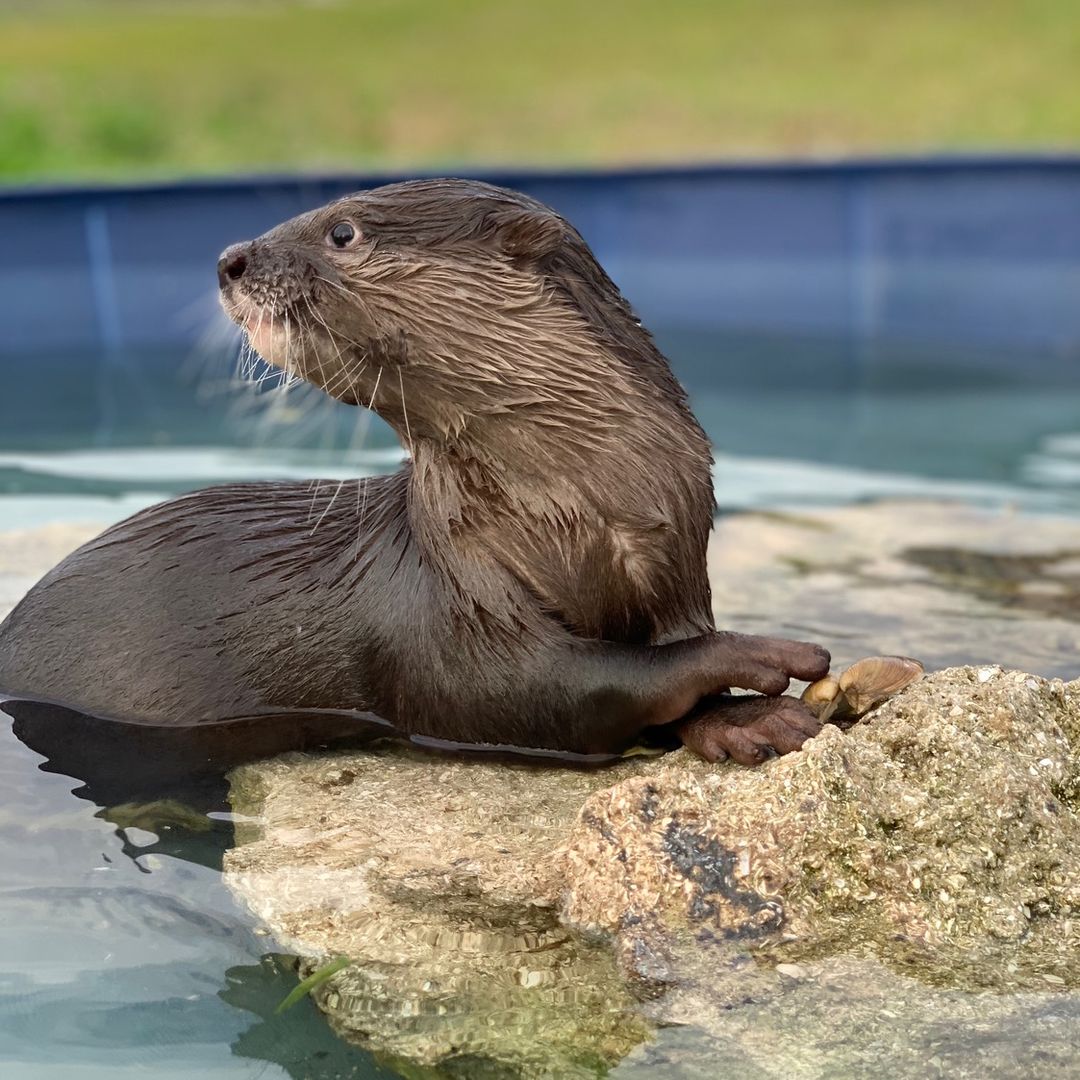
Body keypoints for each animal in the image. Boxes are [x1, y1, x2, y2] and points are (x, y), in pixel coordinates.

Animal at [0, 179, 829, 768]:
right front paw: (752, 660)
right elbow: (549, 690)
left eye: (343, 229)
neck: (575, 522)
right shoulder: (449, 613)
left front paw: (739, 716)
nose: (228, 259)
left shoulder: (679, 568)